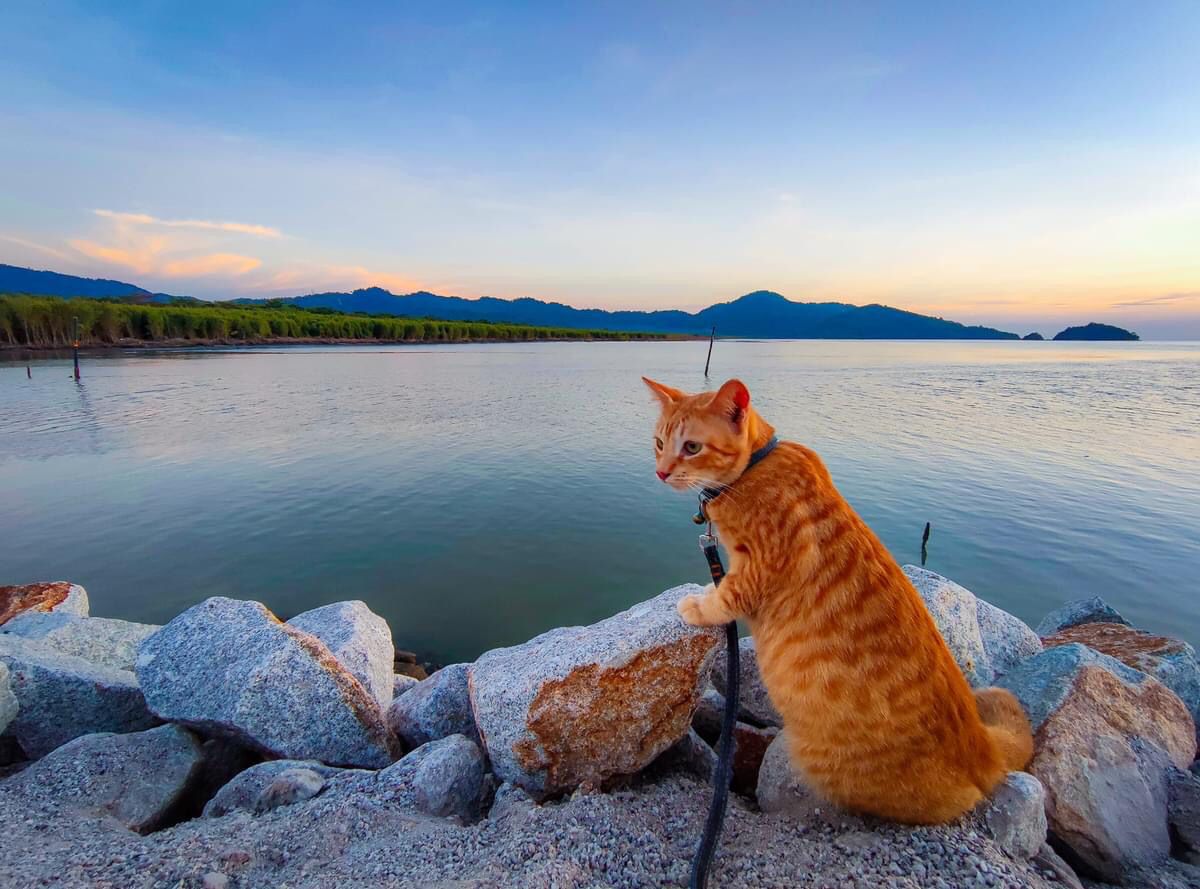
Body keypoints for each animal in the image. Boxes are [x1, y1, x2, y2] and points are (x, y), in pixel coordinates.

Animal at [648, 374, 1032, 825]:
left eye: (692, 447)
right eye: (659, 442)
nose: (661, 471)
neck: (756, 467)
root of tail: (982, 749)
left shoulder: (761, 567)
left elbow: (729, 595)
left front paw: (699, 605)